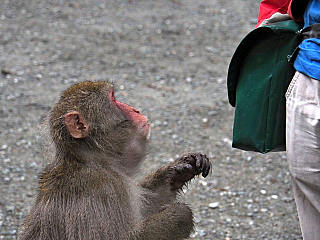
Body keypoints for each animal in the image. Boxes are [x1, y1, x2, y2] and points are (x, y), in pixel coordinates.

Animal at [18, 81, 212, 240]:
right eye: (114, 99)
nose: (136, 110)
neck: (93, 160)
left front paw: (179, 170)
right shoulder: (105, 190)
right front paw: (180, 214)